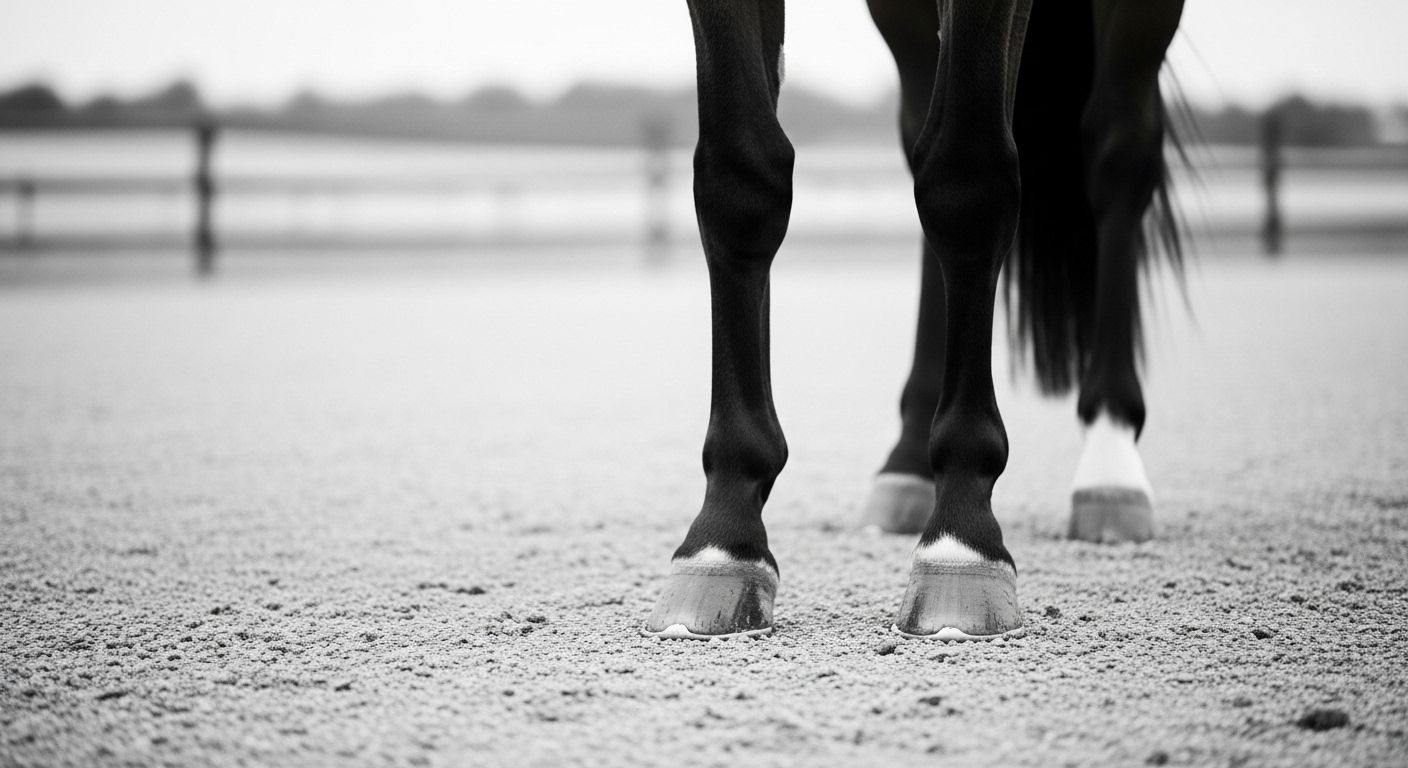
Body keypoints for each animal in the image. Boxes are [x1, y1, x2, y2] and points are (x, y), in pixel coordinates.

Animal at [645, 0, 1186, 640]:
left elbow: (967, 178)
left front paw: (961, 541)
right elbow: (740, 179)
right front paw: (724, 538)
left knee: (1118, 151)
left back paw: (1110, 459)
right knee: (918, 136)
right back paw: (908, 458)